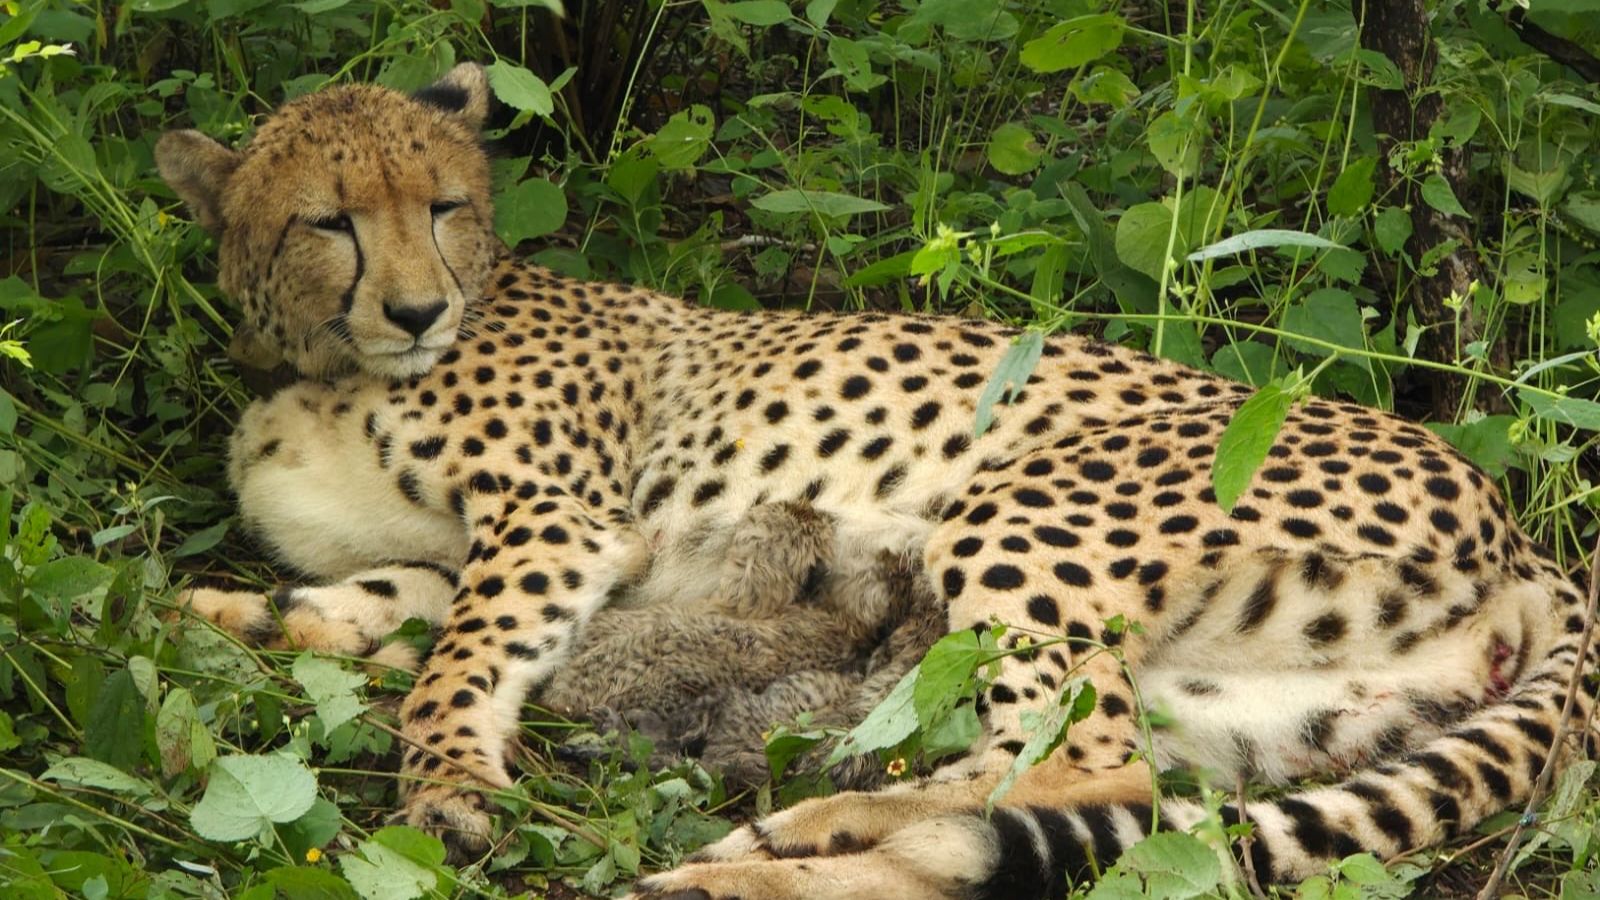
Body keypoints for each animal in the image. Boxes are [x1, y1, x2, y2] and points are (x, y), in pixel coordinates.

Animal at [155, 62, 1594, 899]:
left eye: (444, 205)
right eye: (328, 220)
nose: (415, 310)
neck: (322, 362)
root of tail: (1526, 536)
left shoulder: (558, 521)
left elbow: (458, 659)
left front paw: (448, 786)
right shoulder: (467, 552)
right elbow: (365, 607)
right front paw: (218, 618)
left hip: (1023, 512)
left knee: (1071, 770)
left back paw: (791, 839)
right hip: (1255, 707)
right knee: (1109, 794)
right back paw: (757, 862)